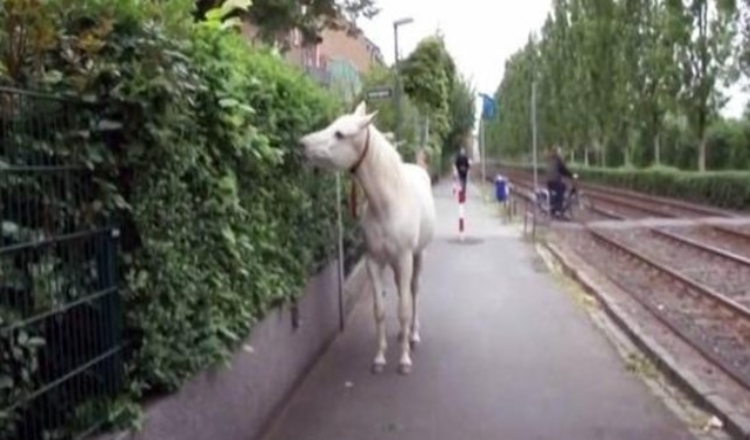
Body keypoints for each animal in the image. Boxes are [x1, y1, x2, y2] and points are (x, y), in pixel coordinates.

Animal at [299, 101, 437, 375]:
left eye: (340, 134)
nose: (302, 145)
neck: (388, 204)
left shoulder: (405, 258)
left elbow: (404, 308)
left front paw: (404, 360)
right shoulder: (374, 260)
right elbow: (380, 310)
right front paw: (380, 358)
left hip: (418, 256)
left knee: (413, 291)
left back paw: (413, 335)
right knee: (402, 291)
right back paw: (401, 335)